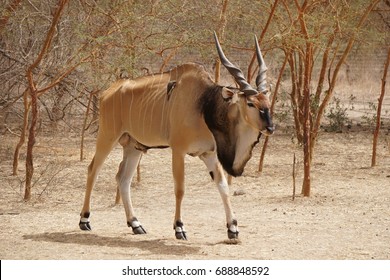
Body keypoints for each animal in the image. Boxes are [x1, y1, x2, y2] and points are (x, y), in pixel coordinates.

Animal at [79, 31, 274, 240]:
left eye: (267, 100)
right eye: (251, 103)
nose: (270, 127)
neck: (203, 104)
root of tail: (108, 92)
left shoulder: (209, 154)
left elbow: (223, 187)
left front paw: (233, 228)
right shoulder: (178, 151)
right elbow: (180, 189)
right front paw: (179, 227)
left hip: (134, 147)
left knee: (123, 179)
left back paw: (135, 224)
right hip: (108, 137)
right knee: (93, 170)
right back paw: (85, 220)